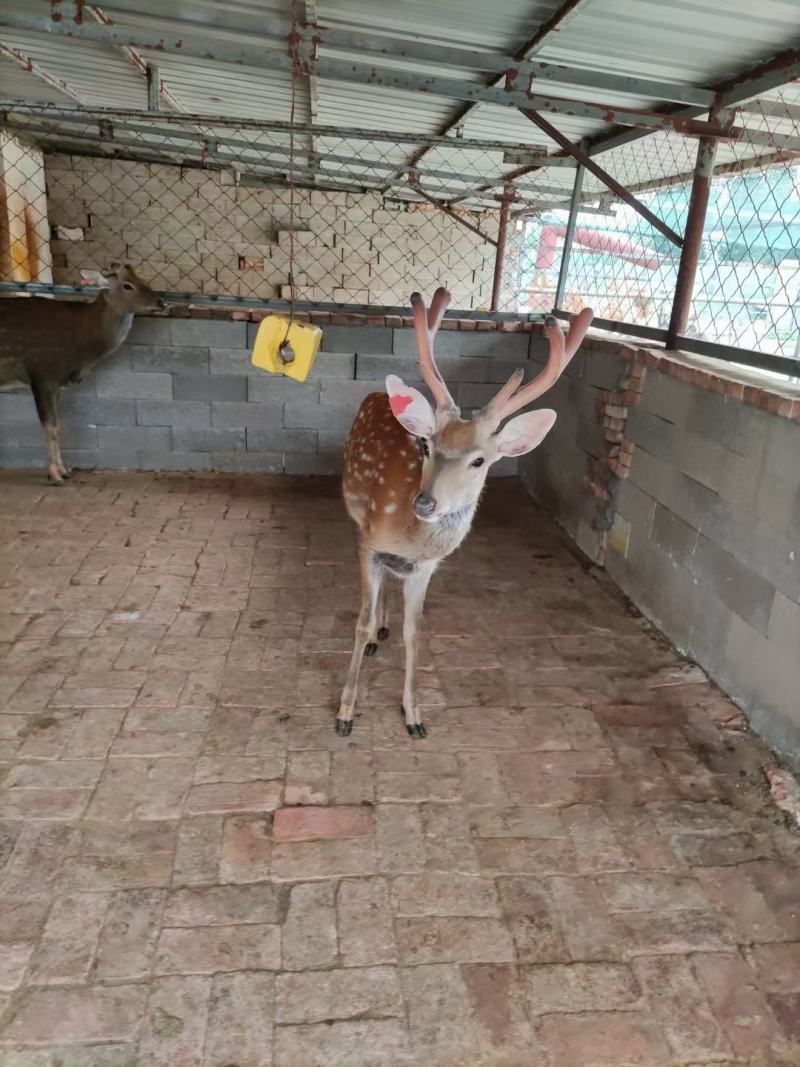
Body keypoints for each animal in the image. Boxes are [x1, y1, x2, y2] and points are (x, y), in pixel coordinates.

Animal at [0, 263, 164, 485]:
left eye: (142, 279)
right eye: (127, 285)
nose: (161, 302)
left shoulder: (56, 383)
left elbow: (58, 426)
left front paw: (64, 470)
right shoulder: (41, 373)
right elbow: (50, 427)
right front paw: (55, 475)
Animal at [336, 288, 593, 738]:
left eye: (479, 461)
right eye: (426, 445)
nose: (425, 503)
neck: (405, 533)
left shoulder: (426, 567)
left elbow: (415, 631)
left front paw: (414, 715)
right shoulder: (367, 543)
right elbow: (360, 621)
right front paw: (345, 712)